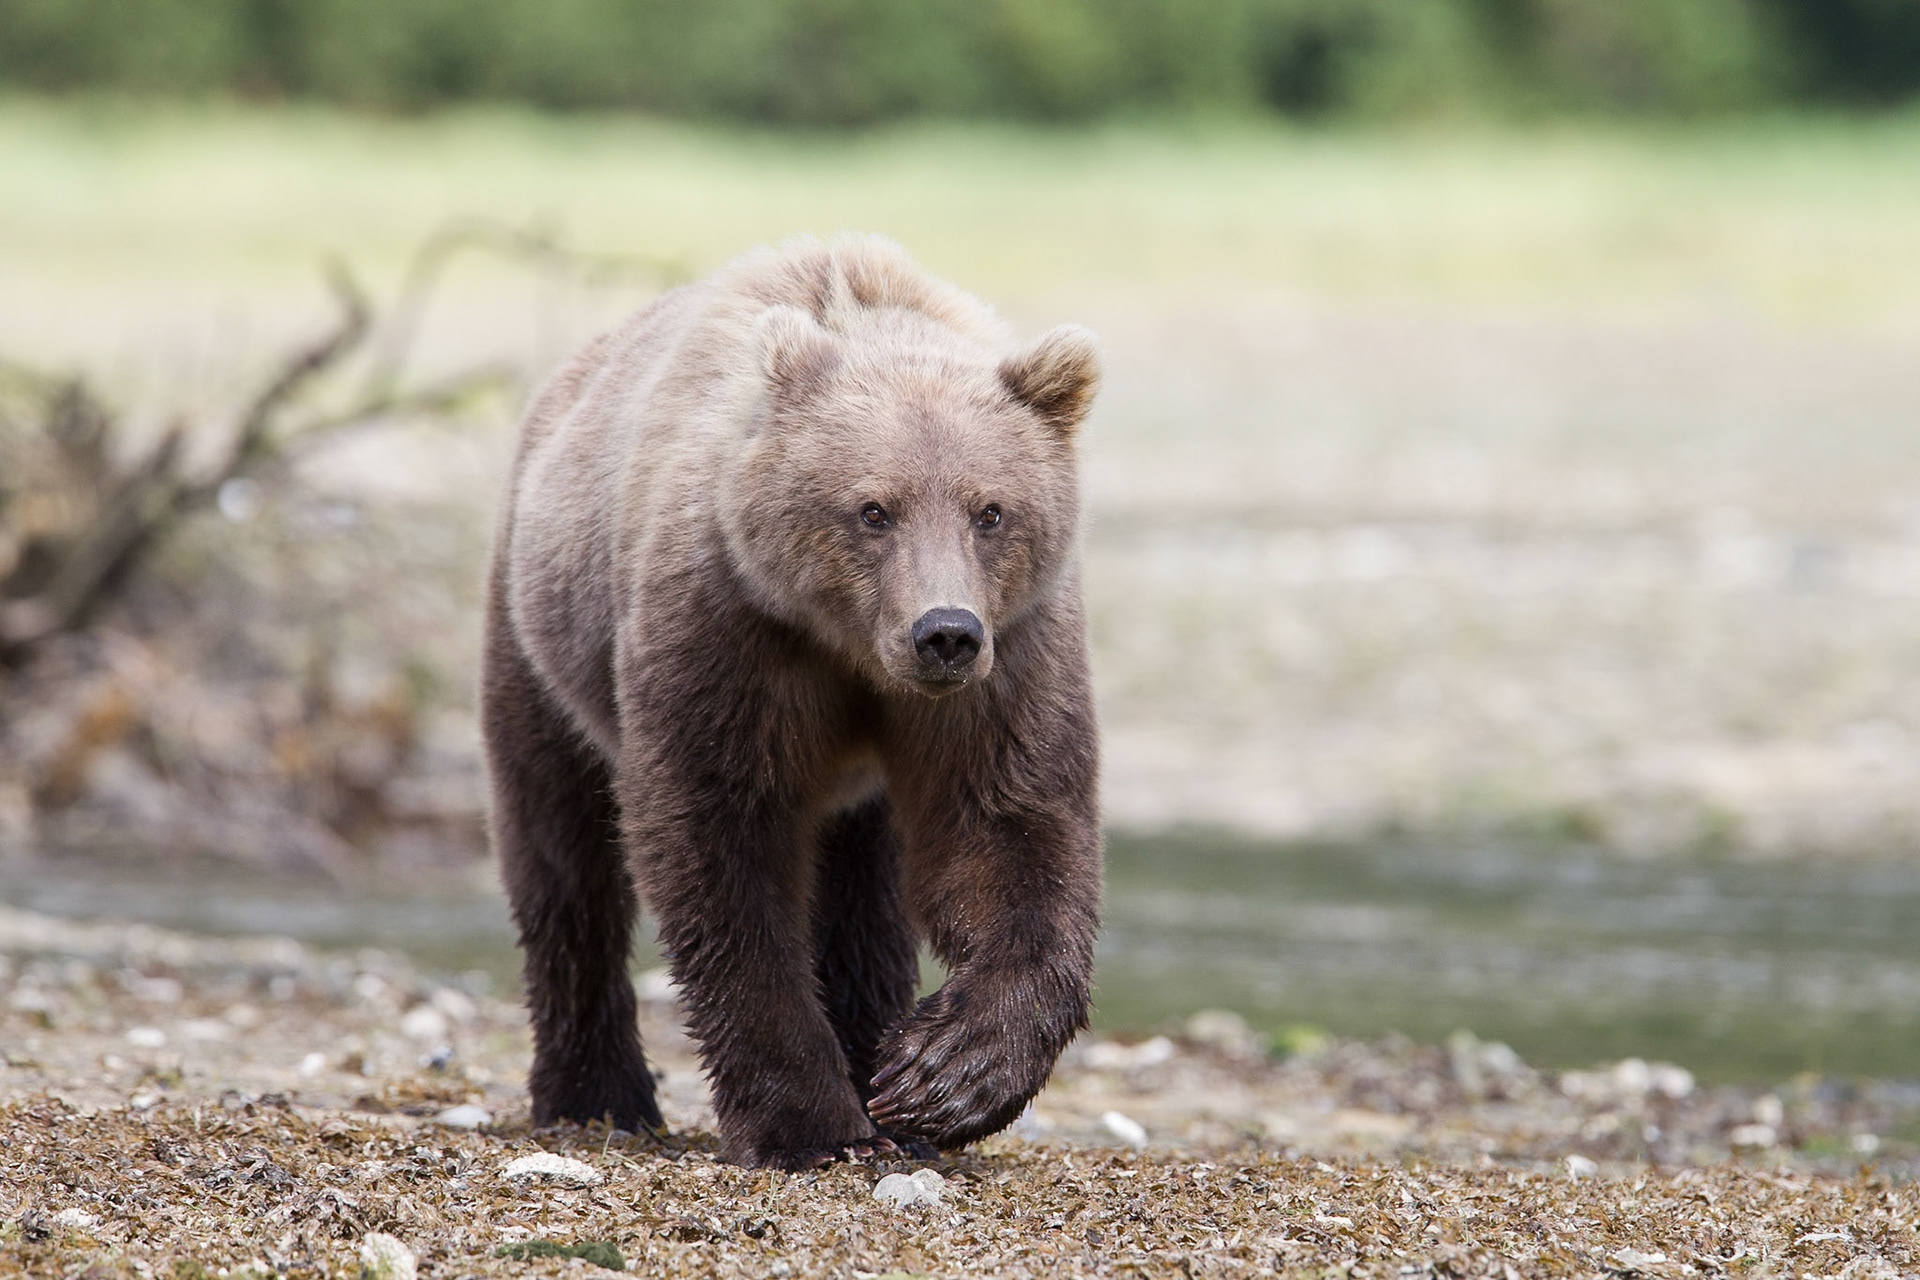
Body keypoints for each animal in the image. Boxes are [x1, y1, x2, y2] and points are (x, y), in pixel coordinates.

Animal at [480, 233, 1104, 1170]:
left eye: (991, 510)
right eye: (873, 509)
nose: (944, 632)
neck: (851, 651)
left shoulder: (1010, 658)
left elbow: (1009, 827)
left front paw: (941, 1075)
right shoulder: (728, 632)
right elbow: (720, 844)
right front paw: (807, 1121)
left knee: (862, 899)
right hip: (539, 638)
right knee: (562, 857)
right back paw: (596, 1094)